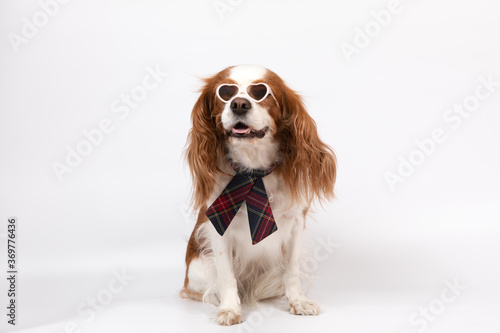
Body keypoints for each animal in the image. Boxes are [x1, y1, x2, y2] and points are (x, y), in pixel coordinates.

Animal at [180, 64, 336, 324]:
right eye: (225, 92)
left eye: (262, 92)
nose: (239, 104)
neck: (254, 170)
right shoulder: (217, 228)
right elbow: (226, 275)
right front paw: (230, 308)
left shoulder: (296, 223)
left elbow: (291, 270)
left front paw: (297, 301)